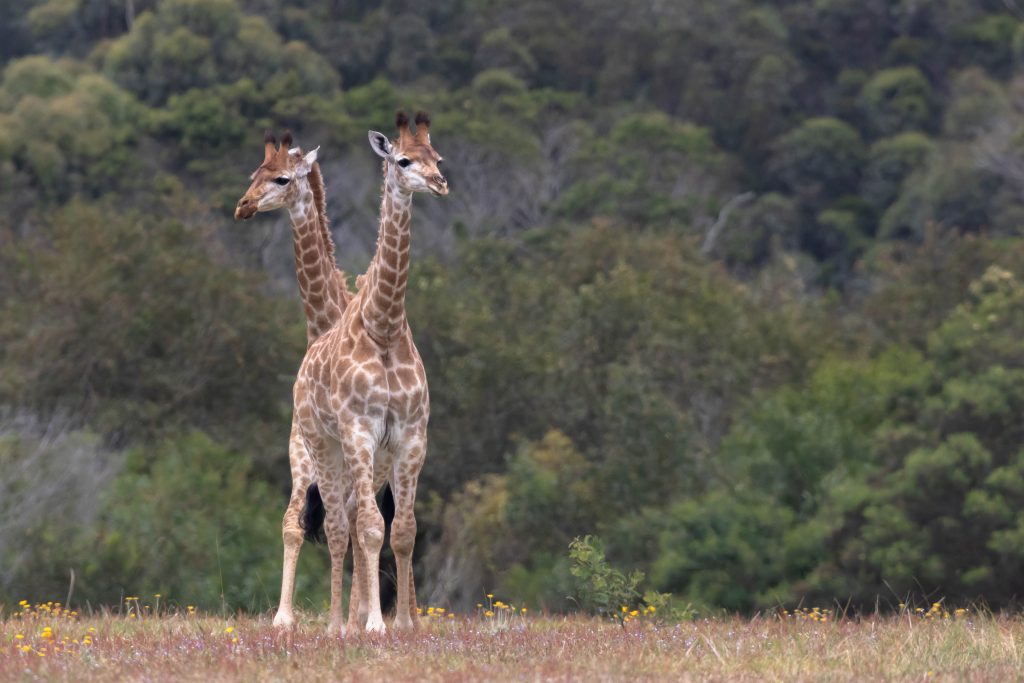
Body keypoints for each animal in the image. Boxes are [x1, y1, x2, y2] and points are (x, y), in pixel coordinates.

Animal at [291, 110, 447, 634]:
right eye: (404, 161)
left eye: (438, 158)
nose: (440, 183)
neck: (384, 328)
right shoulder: (359, 431)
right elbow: (370, 526)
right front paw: (375, 625)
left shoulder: (412, 434)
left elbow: (404, 529)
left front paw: (406, 625)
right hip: (322, 444)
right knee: (338, 523)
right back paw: (336, 624)